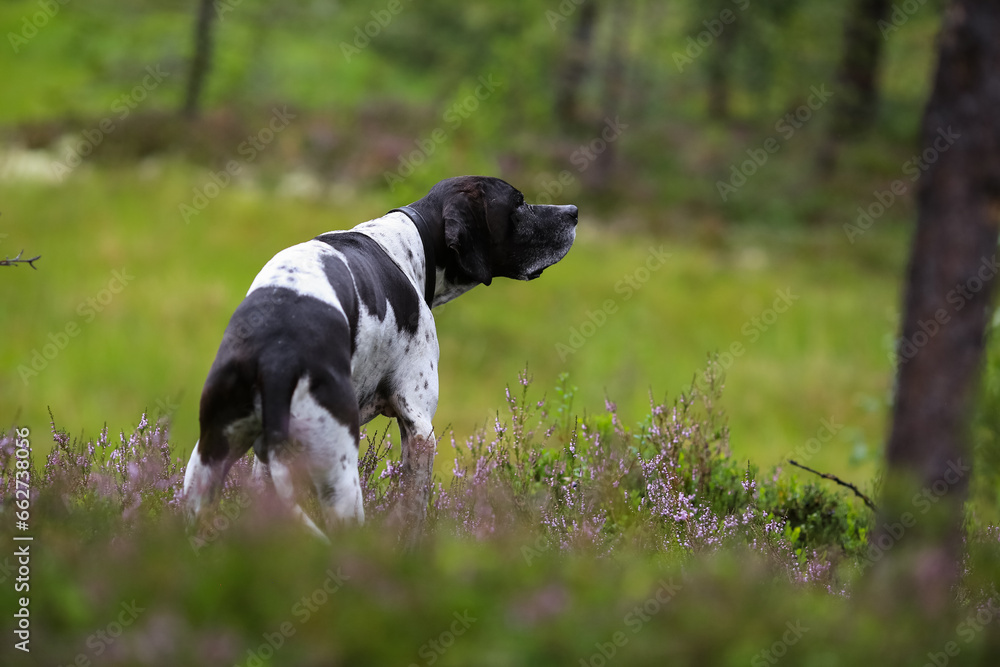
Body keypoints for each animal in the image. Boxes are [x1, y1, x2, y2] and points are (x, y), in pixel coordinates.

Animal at [181, 175, 580, 540]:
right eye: (519, 203)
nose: (574, 212)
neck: (412, 242)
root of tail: (275, 356)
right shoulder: (420, 428)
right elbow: (412, 514)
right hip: (340, 479)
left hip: (206, 464)